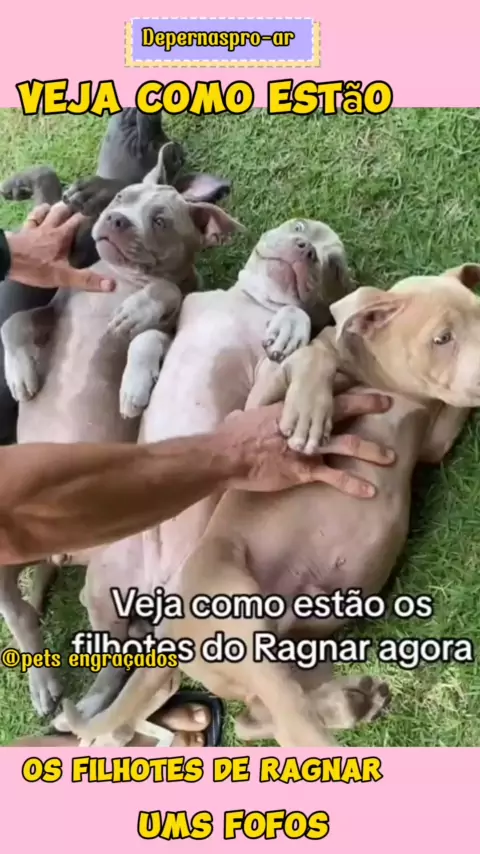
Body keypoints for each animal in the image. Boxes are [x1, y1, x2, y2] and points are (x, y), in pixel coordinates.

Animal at [0, 149, 239, 718]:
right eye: (124, 198)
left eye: (161, 220)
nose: (116, 220)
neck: (120, 280)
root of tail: (61, 552)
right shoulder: (54, 308)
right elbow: (15, 323)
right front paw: (21, 373)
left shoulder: (173, 322)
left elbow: (151, 324)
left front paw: (133, 377)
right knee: (22, 617)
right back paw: (45, 682)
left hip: (110, 570)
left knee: (115, 647)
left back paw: (87, 701)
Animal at [62, 263, 480, 747]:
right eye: (442, 338)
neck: (388, 387)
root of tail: (168, 635)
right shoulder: (250, 413)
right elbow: (309, 359)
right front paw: (310, 410)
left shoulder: (434, 438)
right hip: (235, 610)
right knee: (288, 717)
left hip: (301, 648)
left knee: (255, 717)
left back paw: (349, 703)